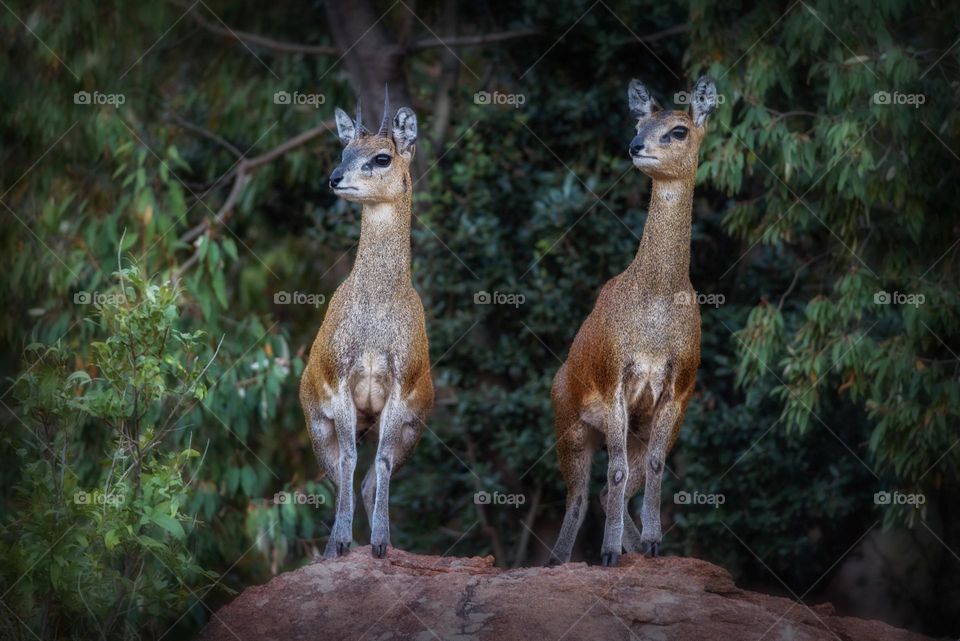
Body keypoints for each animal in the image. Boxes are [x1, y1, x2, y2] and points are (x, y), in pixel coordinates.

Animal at [299, 89, 433, 559]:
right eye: (343, 150)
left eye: (381, 157)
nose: (335, 178)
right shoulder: (340, 383)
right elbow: (349, 463)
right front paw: (340, 542)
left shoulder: (399, 391)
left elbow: (380, 464)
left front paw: (380, 542)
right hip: (319, 425)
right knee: (341, 473)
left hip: (408, 428)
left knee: (373, 477)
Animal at [549, 77, 718, 567]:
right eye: (640, 123)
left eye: (679, 130)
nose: (635, 145)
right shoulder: (614, 380)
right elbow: (617, 472)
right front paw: (608, 551)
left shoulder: (679, 389)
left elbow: (656, 468)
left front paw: (653, 543)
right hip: (571, 427)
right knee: (579, 497)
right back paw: (563, 559)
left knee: (608, 493)